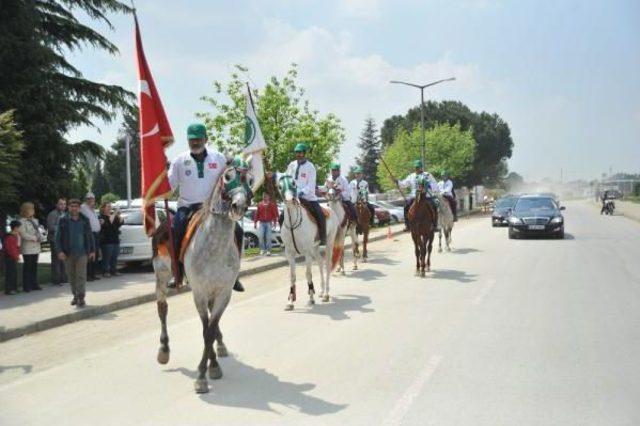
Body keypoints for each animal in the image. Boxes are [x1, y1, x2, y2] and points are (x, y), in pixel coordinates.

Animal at [151, 166, 249, 392]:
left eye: (249, 179)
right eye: (227, 177)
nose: (239, 205)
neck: (215, 246)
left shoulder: (223, 293)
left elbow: (211, 329)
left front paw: (212, 366)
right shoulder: (199, 293)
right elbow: (206, 331)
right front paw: (203, 375)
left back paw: (220, 346)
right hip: (161, 274)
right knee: (162, 308)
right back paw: (164, 350)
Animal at [278, 173, 342, 310]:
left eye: (294, 183)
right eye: (279, 186)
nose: (290, 200)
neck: (293, 224)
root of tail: (330, 210)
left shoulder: (307, 253)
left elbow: (308, 274)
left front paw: (311, 298)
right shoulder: (289, 253)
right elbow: (292, 276)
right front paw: (290, 302)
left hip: (329, 243)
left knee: (327, 264)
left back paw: (326, 294)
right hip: (315, 248)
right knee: (320, 263)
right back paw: (322, 291)